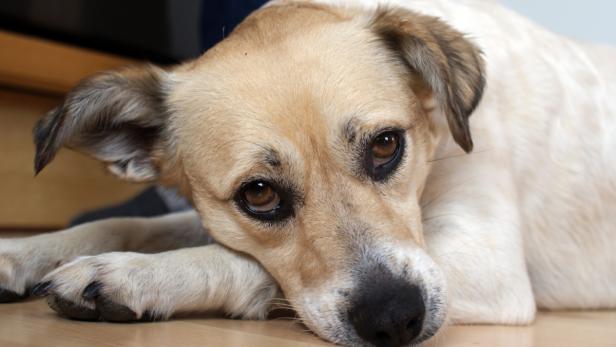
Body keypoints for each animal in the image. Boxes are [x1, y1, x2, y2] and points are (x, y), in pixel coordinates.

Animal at [1, 0, 616, 346]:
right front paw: (22, 252)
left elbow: (243, 266)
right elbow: (128, 225)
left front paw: (136, 275)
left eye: (387, 145)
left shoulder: (489, 264)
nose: (395, 319)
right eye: (258, 194)